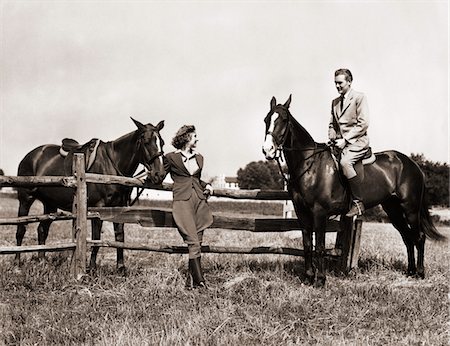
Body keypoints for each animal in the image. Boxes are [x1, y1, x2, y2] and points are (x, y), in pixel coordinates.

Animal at [16, 117, 167, 272]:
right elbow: (96, 238)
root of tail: (31, 155)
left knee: (42, 230)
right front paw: (92, 268)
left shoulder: (119, 208)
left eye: (161, 142)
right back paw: (17, 263)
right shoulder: (97, 210)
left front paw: (120, 268)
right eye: (146, 141)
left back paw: (42, 261)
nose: (160, 174)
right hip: (25, 198)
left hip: (50, 204)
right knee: (21, 229)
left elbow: (119, 237)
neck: (112, 164)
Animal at [262, 94, 444, 286]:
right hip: (393, 210)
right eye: (266, 119)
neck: (309, 164)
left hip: (410, 209)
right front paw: (308, 277)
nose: (268, 150)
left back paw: (420, 273)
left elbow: (319, 247)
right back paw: (410, 271)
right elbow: (307, 246)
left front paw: (320, 280)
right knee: (408, 238)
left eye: (283, 119)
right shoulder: (302, 213)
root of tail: (413, 164)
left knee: (419, 237)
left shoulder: (319, 213)